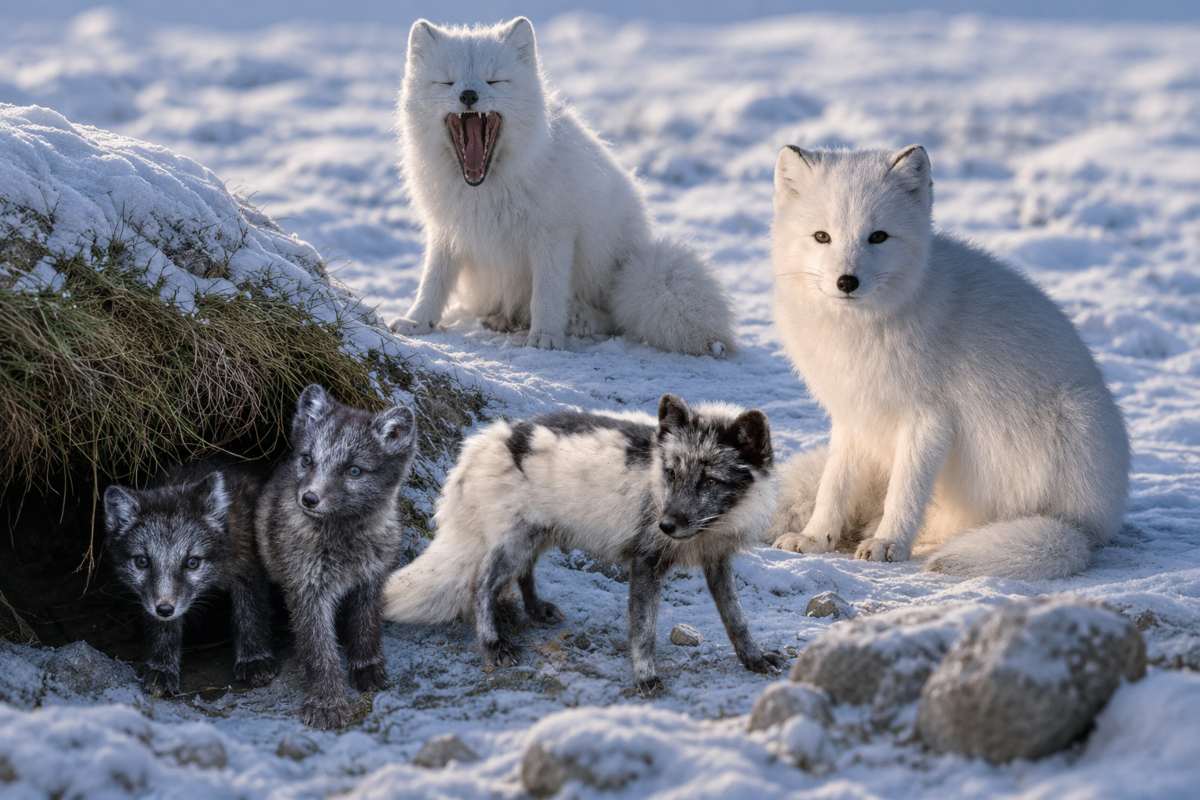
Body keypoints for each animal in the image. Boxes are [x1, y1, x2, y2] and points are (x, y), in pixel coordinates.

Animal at [104, 461, 276, 696]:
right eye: (142, 562)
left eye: (192, 562)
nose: (164, 610)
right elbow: (163, 629)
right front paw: (162, 667)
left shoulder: (248, 565)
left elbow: (251, 613)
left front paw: (254, 659)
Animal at [255, 384, 417, 729]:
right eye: (307, 460)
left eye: (354, 470)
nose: (309, 498)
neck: (344, 541)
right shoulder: (306, 588)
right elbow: (319, 650)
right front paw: (327, 703)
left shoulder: (372, 579)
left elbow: (366, 627)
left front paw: (367, 668)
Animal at [382, 394, 785, 695]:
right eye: (671, 473)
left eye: (709, 481)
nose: (666, 525)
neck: (711, 528)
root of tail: (483, 443)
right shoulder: (646, 561)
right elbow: (643, 630)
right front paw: (645, 677)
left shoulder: (718, 560)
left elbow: (736, 618)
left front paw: (753, 658)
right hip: (514, 542)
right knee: (480, 583)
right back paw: (493, 645)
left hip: (537, 536)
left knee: (522, 574)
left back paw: (536, 610)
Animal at [389, 17, 734, 357]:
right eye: (447, 82)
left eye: (494, 81)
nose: (469, 95)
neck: (485, 187)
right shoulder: (446, 230)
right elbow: (433, 280)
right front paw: (417, 321)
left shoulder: (553, 234)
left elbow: (547, 292)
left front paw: (545, 336)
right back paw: (501, 318)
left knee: (613, 316)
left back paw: (577, 319)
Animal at [767, 144, 1130, 580]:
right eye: (822, 236)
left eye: (878, 236)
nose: (846, 282)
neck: (862, 330)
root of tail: (1086, 529)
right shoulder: (854, 416)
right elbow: (833, 486)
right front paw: (815, 538)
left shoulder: (929, 419)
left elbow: (905, 491)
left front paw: (889, 543)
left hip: (1070, 423)